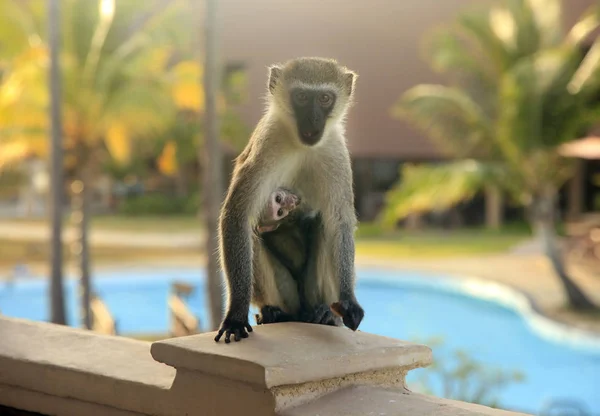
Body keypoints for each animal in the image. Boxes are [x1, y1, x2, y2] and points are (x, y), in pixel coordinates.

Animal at [217, 57, 366, 342]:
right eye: (302, 97)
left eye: (325, 98)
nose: (313, 118)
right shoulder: (267, 142)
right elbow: (238, 215)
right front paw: (236, 315)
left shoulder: (336, 151)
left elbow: (339, 222)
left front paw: (349, 301)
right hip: (288, 295)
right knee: (252, 234)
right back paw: (274, 312)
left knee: (325, 226)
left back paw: (324, 313)